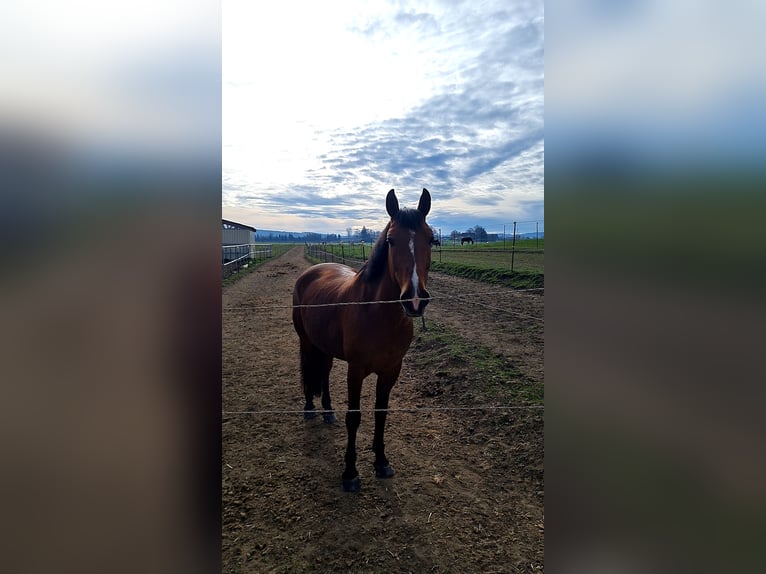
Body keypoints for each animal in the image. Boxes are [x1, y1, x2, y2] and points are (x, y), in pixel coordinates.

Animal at [292, 188, 435, 492]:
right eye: (391, 241)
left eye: (431, 238)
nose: (415, 299)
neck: (377, 313)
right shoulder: (356, 371)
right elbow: (354, 417)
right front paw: (350, 473)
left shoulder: (391, 370)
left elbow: (381, 413)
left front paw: (381, 462)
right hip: (306, 341)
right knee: (308, 367)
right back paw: (310, 408)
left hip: (325, 346)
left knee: (323, 371)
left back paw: (327, 411)